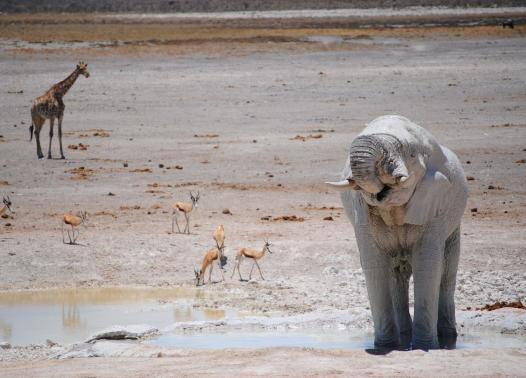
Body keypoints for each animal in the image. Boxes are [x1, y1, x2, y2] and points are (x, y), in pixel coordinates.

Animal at [326, 115, 470, 352]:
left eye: (409, 153)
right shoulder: (361, 213)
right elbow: (374, 265)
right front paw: (385, 347)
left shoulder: (435, 205)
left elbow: (428, 265)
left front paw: (425, 347)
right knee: (396, 276)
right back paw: (404, 337)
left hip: (454, 223)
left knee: (447, 271)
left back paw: (448, 338)